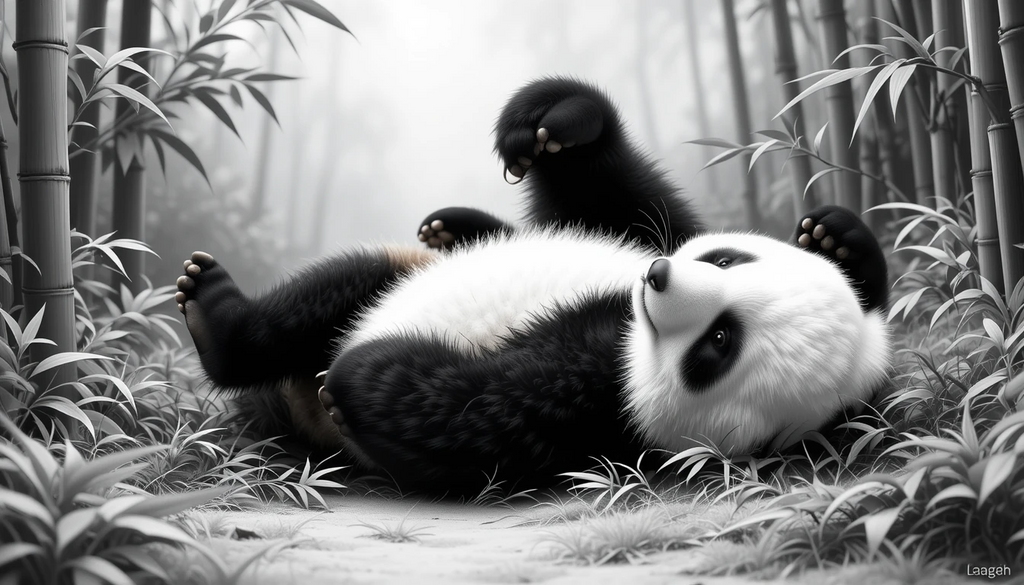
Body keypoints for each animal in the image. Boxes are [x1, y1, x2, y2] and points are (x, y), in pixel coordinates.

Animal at [174, 77, 892, 494]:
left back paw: (231, 333)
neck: (626, 319)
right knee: (341, 287)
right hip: (396, 269)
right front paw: (554, 121)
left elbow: (473, 412)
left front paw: (356, 380)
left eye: (719, 343)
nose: (656, 278)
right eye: (726, 261)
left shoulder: (603, 403)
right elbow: (623, 203)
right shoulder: (638, 236)